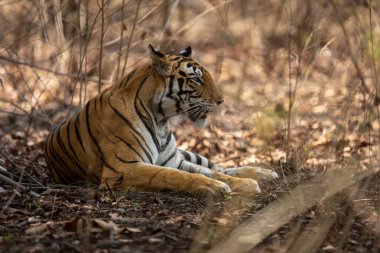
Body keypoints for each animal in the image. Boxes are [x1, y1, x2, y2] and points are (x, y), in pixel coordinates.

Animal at [44, 45, 278, 196]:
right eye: (196, 79)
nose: (221, 101)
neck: (161, 121)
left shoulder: (174, 160)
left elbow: (211, 171)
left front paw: (246, 183)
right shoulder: (123, 168)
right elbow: (173, 176)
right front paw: (214, 187)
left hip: (186, 153)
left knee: (219, 166)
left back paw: (264, 173)